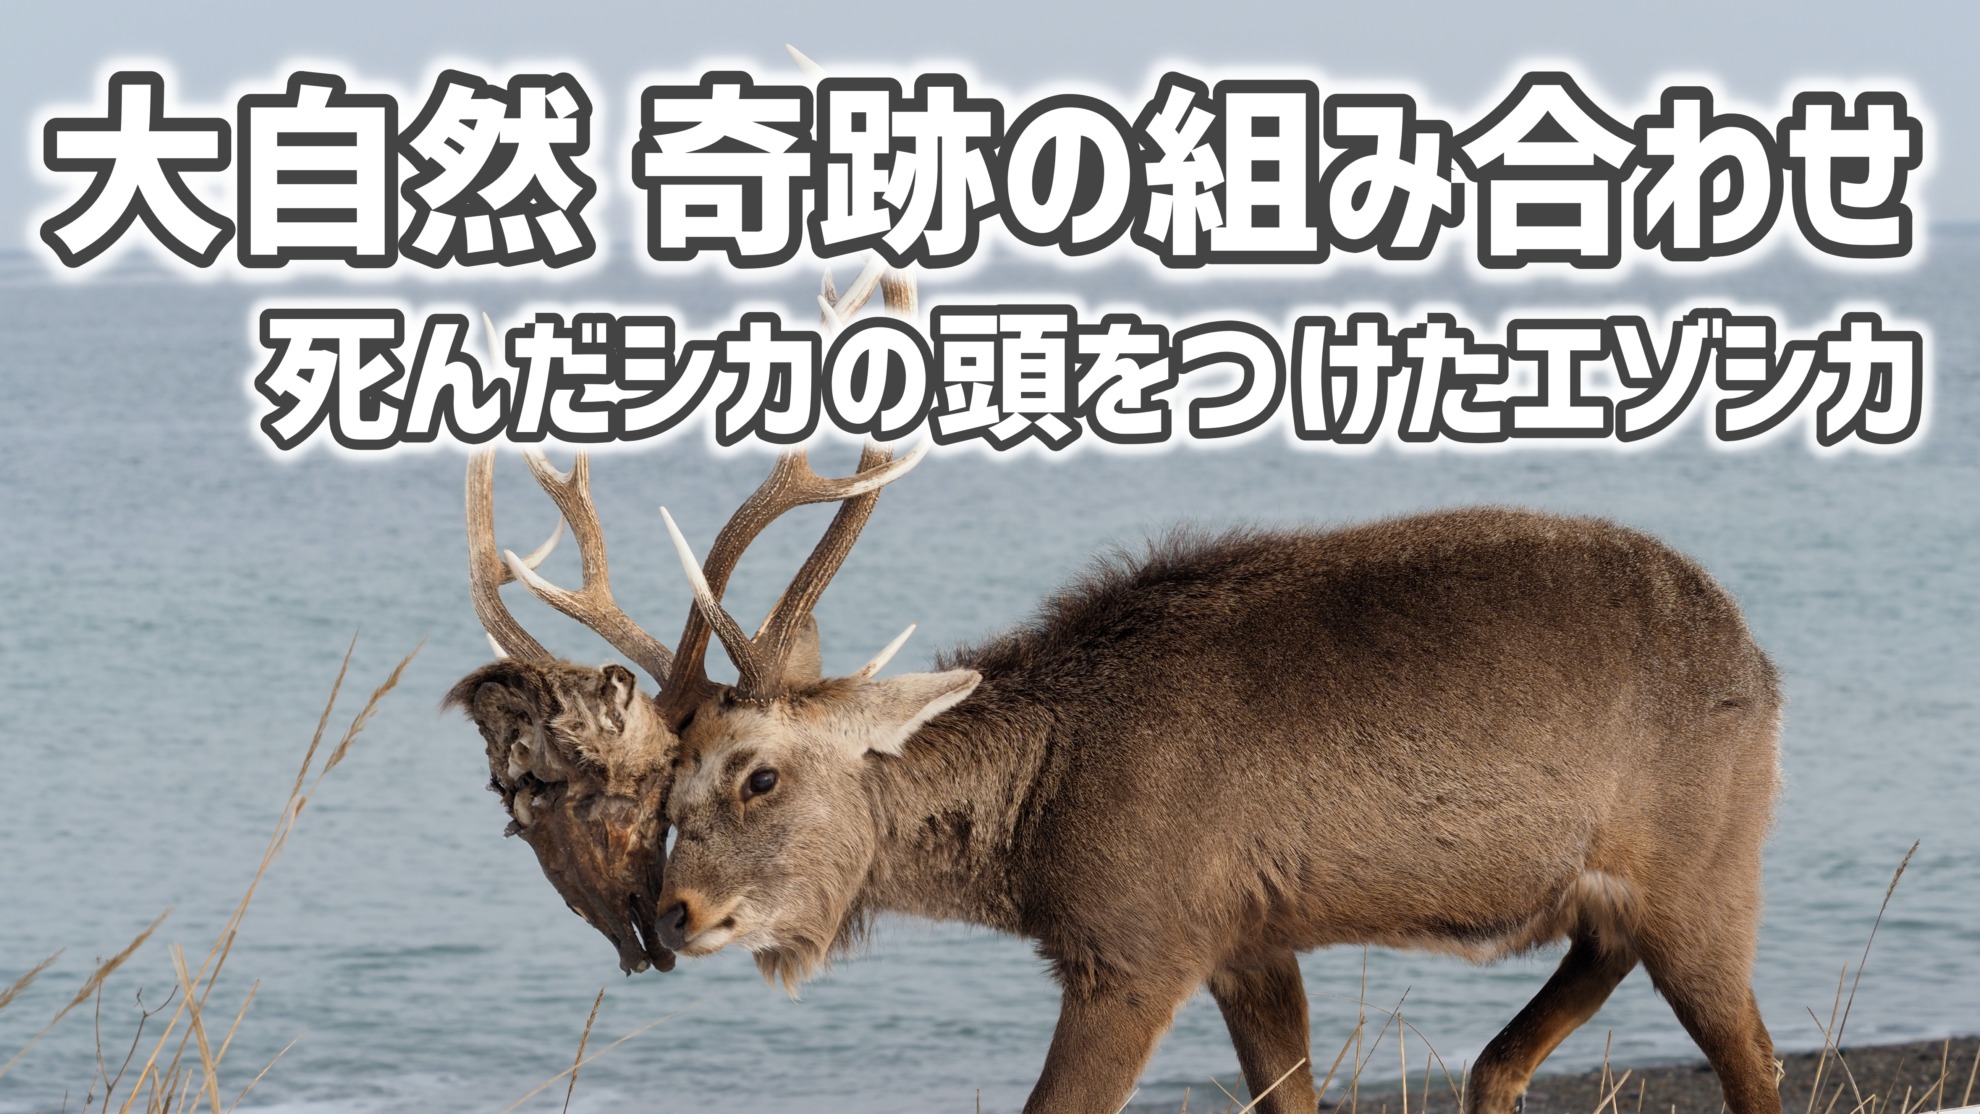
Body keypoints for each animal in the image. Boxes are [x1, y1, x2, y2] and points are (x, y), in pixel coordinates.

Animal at [446, 265, 1784, 1114]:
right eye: (666, 793)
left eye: (758, 773)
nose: (678, 916)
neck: (1039, 834)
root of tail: (1766, 669)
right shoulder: (1250, 940)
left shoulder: (1141, 940)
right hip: (1614, 892)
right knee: (1539, 1026)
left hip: (1709, 865)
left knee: (1755, 1056)